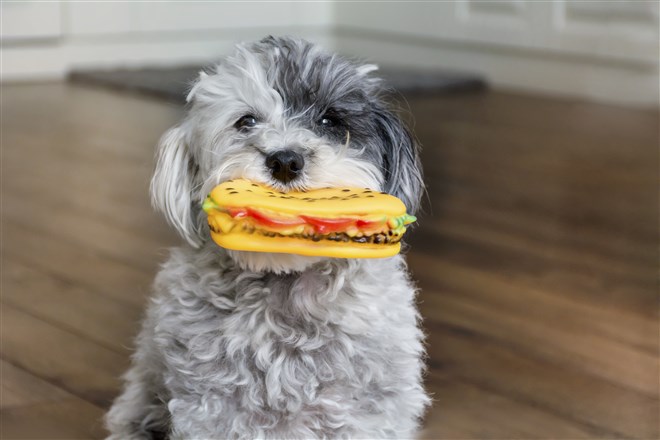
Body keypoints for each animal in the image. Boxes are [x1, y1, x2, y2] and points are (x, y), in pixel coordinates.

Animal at [106, 37, 430, 440]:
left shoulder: (369, 411)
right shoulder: (211, 408)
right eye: (246, 122)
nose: (285, 161)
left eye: (329, 121)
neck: (287, 285)